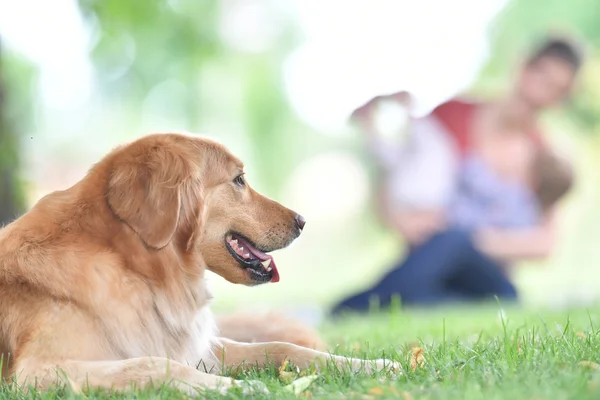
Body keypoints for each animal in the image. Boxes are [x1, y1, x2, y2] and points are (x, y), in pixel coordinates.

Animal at [0, 133, 398, 396]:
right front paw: (239, 387)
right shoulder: (37, 371)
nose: (302, 221)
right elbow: (149, 363)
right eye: (239, 180)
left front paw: (371, 366)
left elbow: (281, 347)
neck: (138, 270)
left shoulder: (199, 347)